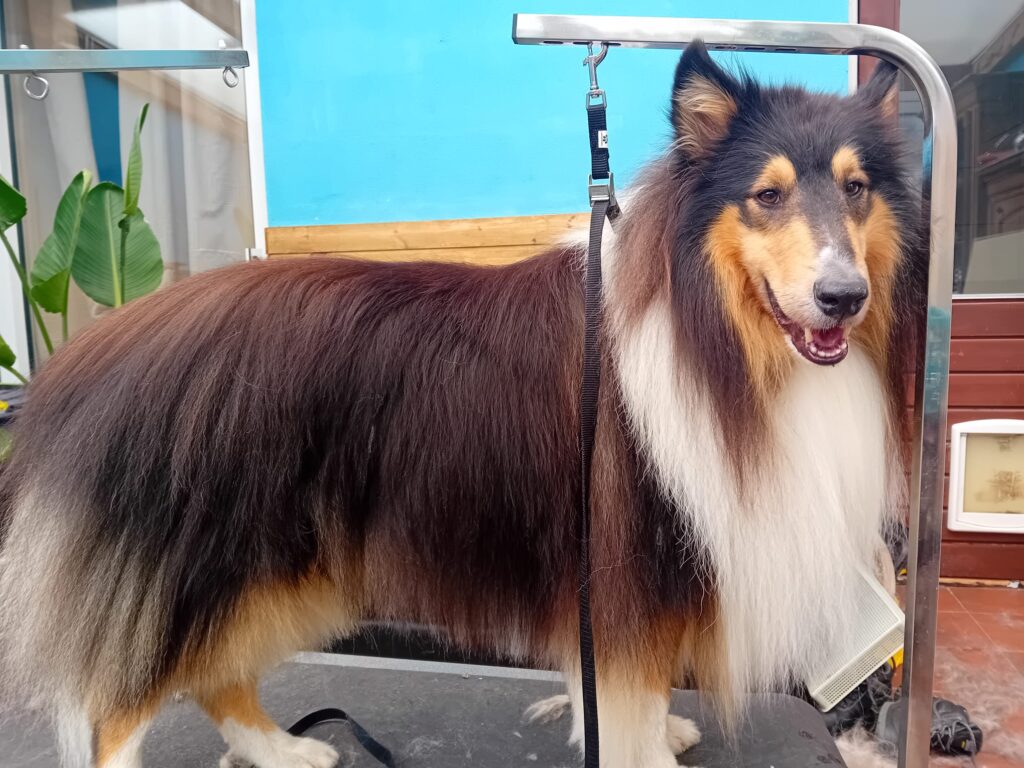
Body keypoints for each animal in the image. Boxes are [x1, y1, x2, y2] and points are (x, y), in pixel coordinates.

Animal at [0, 43, 925, 768]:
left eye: (856, 188)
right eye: (767, 195)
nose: (843, 298)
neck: (708, 323)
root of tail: (101, 353)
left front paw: (660, 733)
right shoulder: (629, 562)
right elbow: (630, 698)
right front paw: (649, 750)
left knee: (213, 679)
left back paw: (287, 751)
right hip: (208, 563)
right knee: (124, 707)